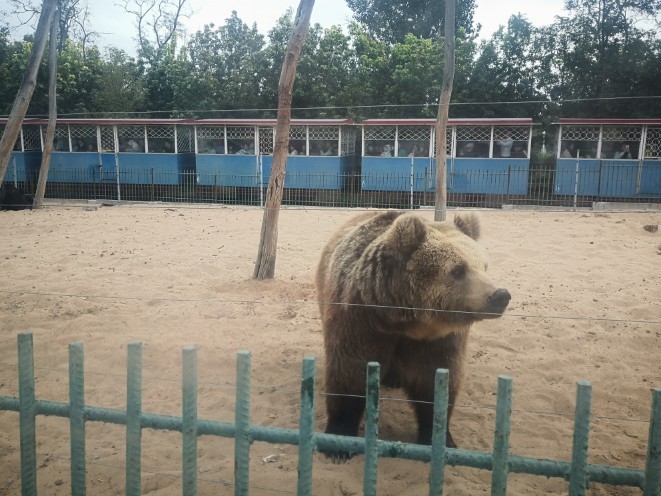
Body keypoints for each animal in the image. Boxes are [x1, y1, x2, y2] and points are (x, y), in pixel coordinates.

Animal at [314, 209, 510, 462]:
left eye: (484, 265)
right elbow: (350, 372)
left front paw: (440, 438)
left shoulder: (438, 341)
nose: (500, 295)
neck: (405, 320)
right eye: (458, 269)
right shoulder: (359, 321)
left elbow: (434, 382)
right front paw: (339, 441)